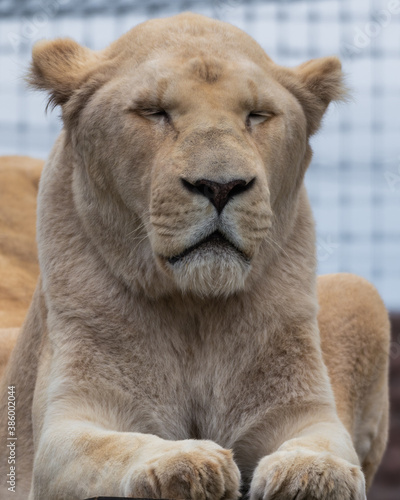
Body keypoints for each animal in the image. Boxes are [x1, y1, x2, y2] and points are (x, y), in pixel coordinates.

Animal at [0, 13, 390, 500]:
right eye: (153, 111)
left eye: (257, 115)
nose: (221, 186)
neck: (194, 310)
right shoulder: (67, 426)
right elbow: (115, 447)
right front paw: (185, 462)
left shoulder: (302, 411)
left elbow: (327, 444)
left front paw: (315, 472)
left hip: (358, 290)